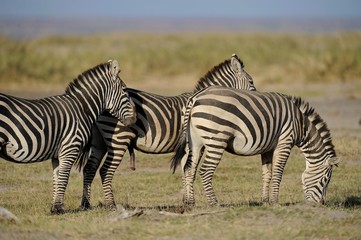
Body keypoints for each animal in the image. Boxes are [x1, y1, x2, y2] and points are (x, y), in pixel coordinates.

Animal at [0, 60, 135, 214]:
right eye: (124, 90)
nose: (135, 119)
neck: (81, 108)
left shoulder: (57, 154)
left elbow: (57, 179)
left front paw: (53, 207)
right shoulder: (70, 148)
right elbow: (64, 178)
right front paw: (59, 208)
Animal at [81, 53, 256, 209]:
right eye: (251, 82)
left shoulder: (186, 147)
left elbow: (186, 170)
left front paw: (186, 201)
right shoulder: (194, 145)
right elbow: (190, 171)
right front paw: (190, 202)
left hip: (99, 142)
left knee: (89, 169)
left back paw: (85, 204)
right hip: (118, 138)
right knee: (105, 171)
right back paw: (111, 205)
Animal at [170, 86, 338, 206]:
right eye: (325, 180)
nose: (321, 204)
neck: (300, 125)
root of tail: (195, 97)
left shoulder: (268, 148)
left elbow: (267, 174)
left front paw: (265, 201)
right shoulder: (285, 142)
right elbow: (278, 173)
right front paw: (275, 202)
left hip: (195, 142)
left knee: (189, 169)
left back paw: (191, 203)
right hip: (216, 139)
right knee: (205, 170)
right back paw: (214, 203)